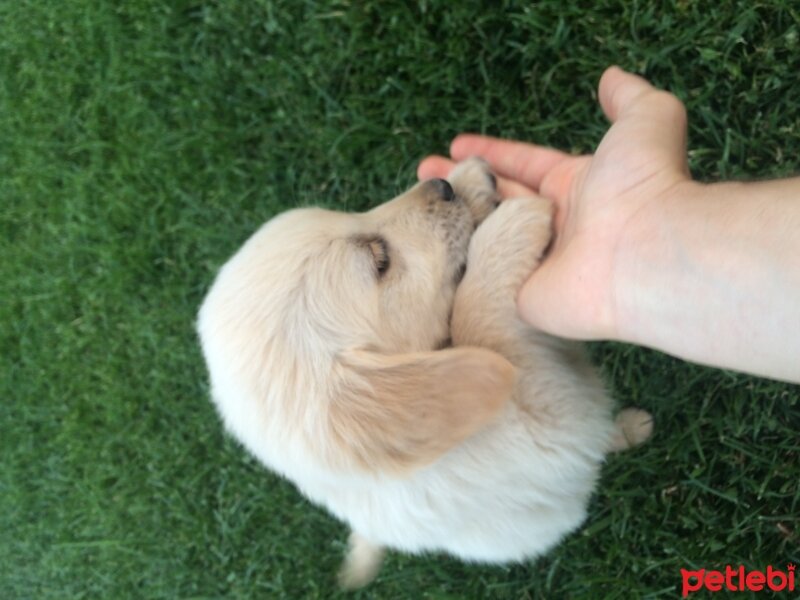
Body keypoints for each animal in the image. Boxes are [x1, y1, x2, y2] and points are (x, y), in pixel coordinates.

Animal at [197, 157, 652, 588]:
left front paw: (471, 179)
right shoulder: (547, 419)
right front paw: (511, 222)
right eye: (379, 260)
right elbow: (479, 319)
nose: (443, 186)